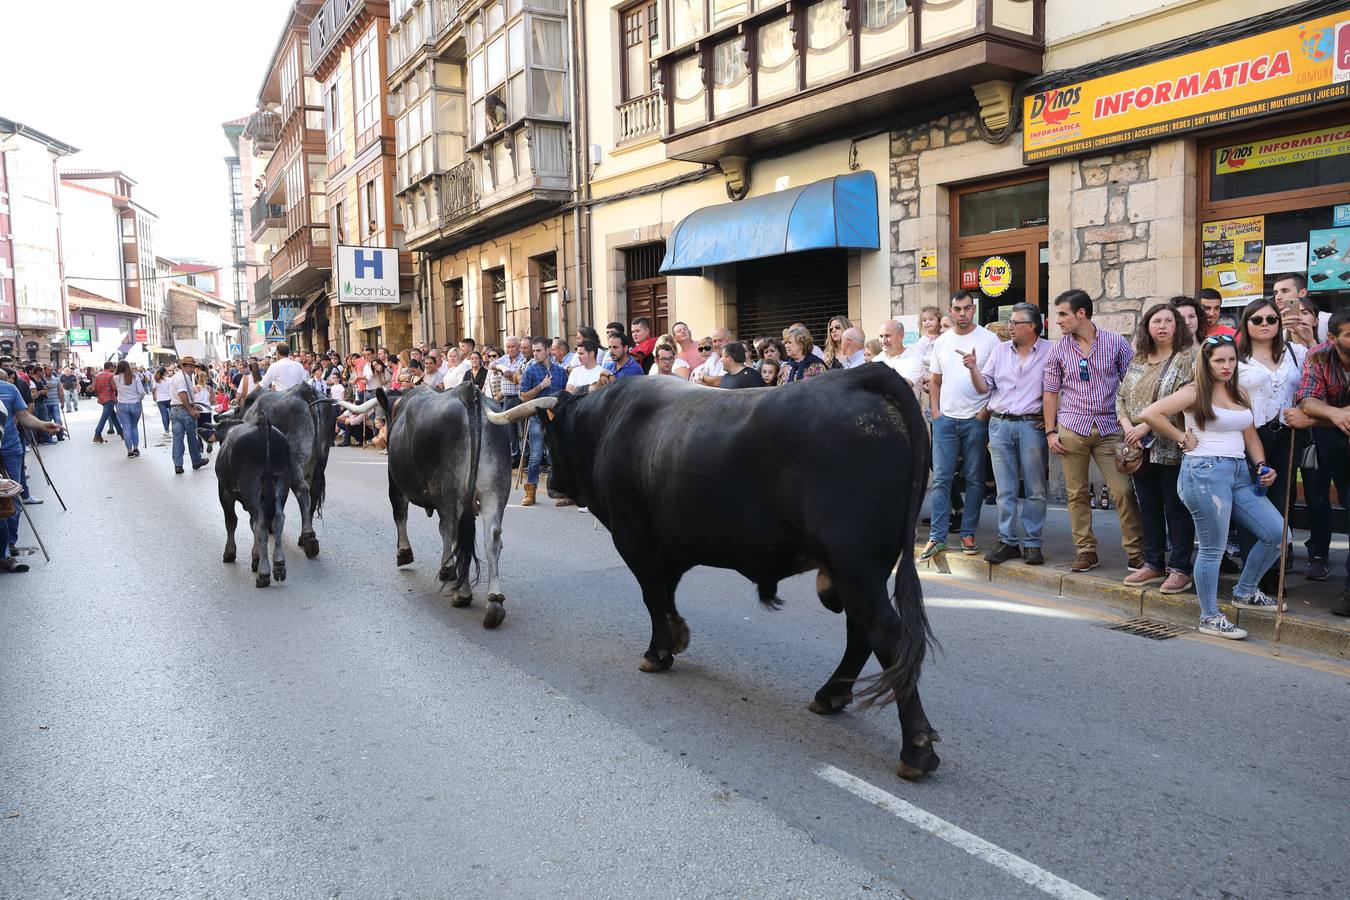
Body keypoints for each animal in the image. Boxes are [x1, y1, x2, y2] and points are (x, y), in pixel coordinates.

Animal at [491, 367, 945, 782]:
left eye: (551, 437)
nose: (553, 485)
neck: (607, 423)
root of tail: (865, 376)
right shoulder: (669, 544)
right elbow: (666, 595)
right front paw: (675, 637)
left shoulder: (634, 538)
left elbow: (653, 596)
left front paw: (658, 652)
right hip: (861, 570)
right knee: (861, 632)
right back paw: (831, 695)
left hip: (855, 565)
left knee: (884, 633)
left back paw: (916, 748)